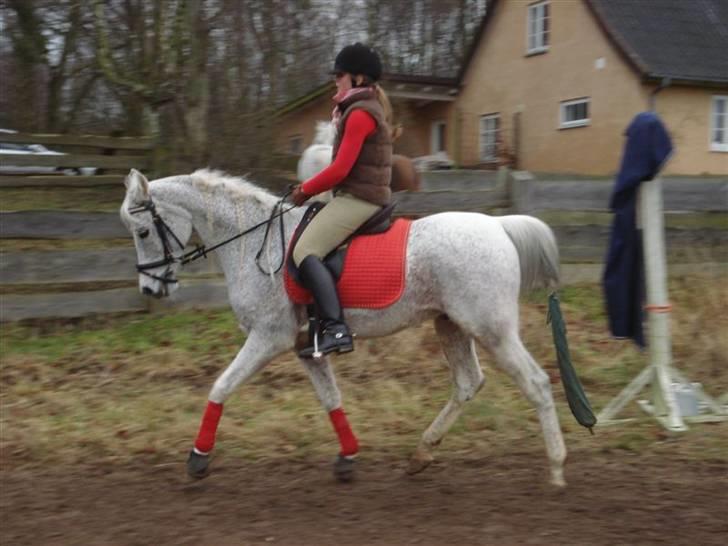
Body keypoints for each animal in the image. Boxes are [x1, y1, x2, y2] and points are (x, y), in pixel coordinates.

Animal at [121, 167, 568, 484]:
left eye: (142, 231)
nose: (150, 289)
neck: (254, 243)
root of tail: (499, 226)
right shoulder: (306, 348)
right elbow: (331, 399)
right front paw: (348, 457)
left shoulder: (268, 338)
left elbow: (221, 386)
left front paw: (198, 458)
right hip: (452, 325)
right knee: (467, 383)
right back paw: (422, 453)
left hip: (492, 328)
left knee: (536, 382)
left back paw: (557, 468)